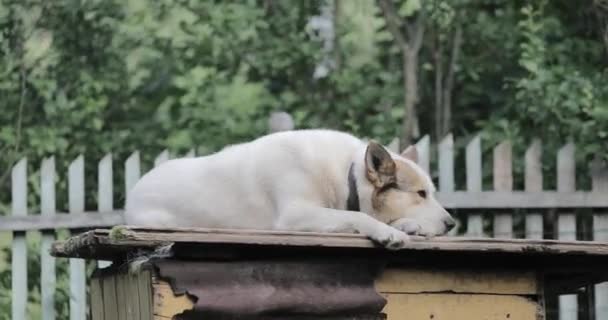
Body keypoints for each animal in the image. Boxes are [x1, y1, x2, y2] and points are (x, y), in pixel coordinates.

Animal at [126, 129, 454, 249]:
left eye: (431, 192)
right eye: (420, 194)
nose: (452, 224)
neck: (345, 174)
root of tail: (135, 191)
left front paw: (407, 224)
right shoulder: (296, 215)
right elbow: (357, 216)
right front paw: (388, 231)